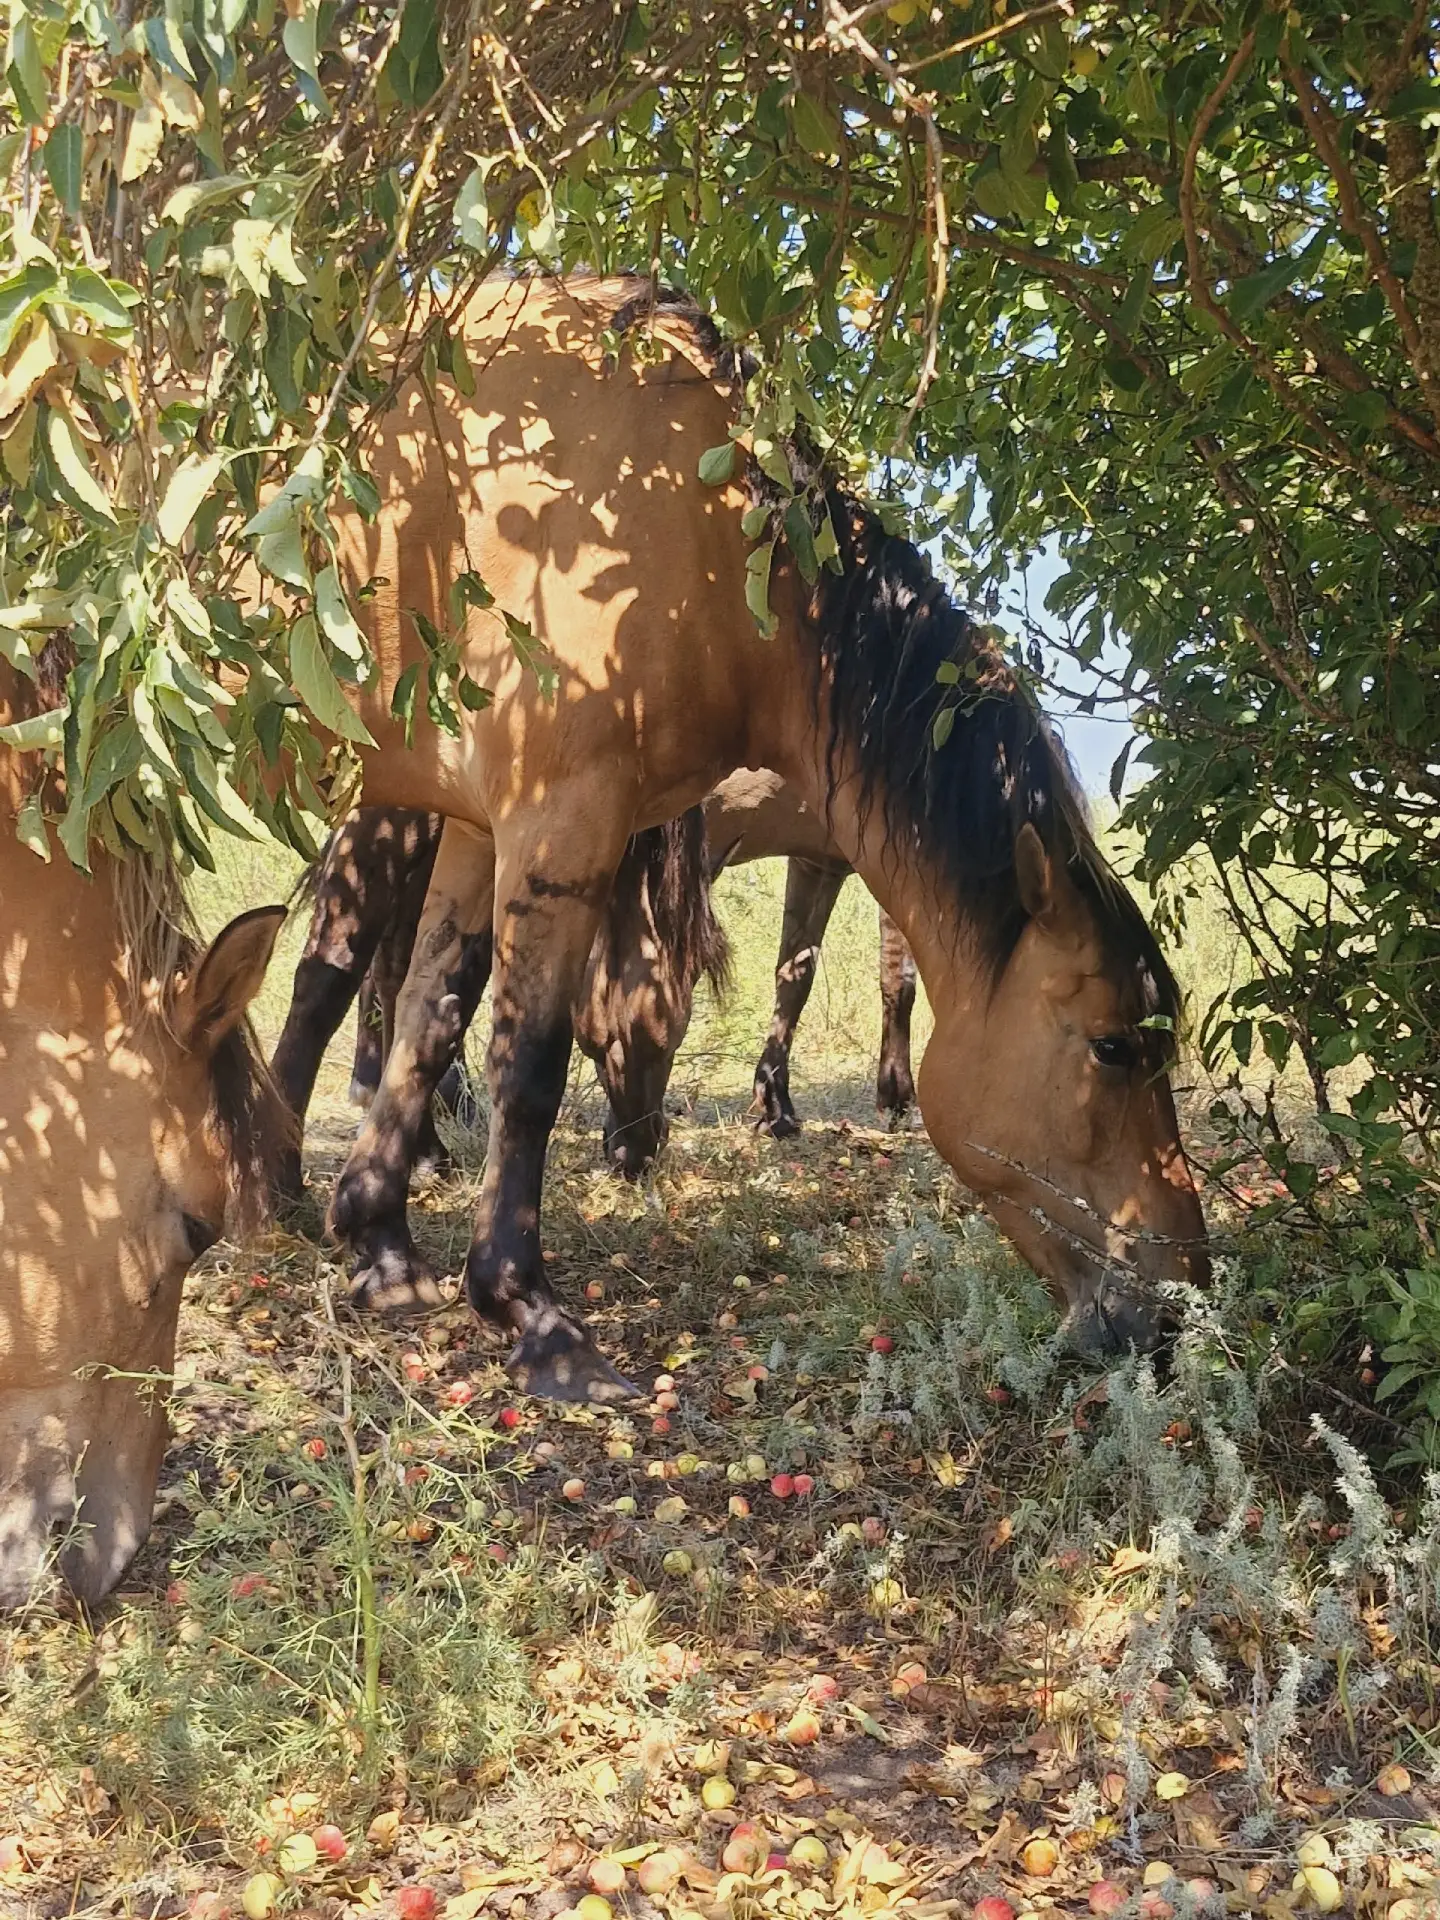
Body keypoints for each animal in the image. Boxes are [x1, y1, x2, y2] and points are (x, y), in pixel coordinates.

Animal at [298, 274, 1207, 1403]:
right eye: (1114, 1046)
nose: (1181, 1309)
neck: (700, 538)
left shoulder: (487, 822)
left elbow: (440, 1009)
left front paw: (381, 1244)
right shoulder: (566, 820)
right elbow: (531, 1061)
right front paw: (529, 1312)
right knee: (327, 957)